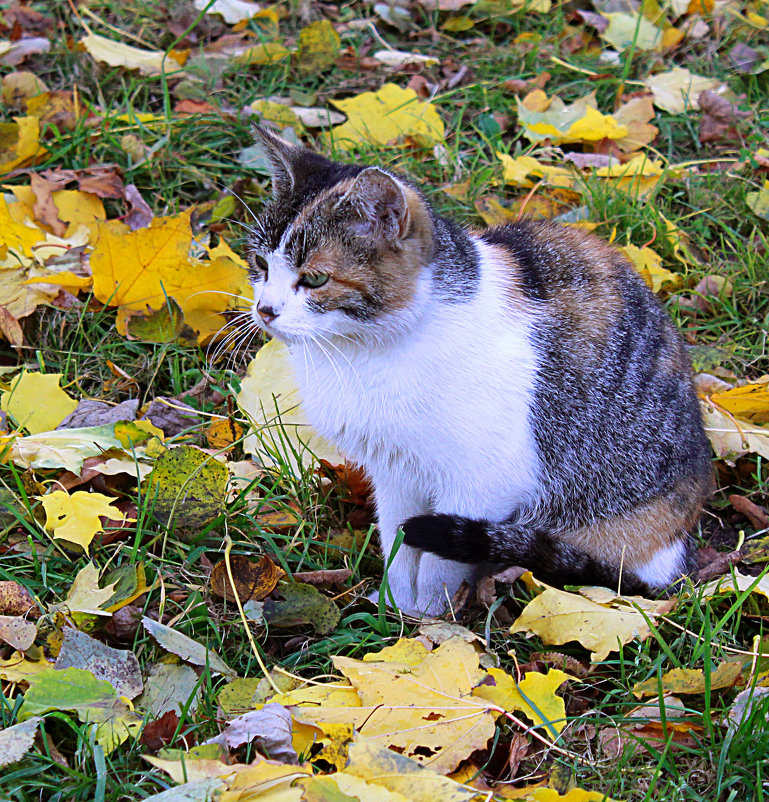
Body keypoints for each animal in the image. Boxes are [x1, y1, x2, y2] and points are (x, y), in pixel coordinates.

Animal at [246, 123, 712, 612]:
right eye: (260, 264)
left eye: (315, 279)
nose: (265, 310)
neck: (363, 354)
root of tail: (680, 553)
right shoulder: (394, 471)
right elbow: (397, 543)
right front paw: (398, 606)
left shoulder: (484, 482)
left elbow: (438, 562)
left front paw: (431, 615)